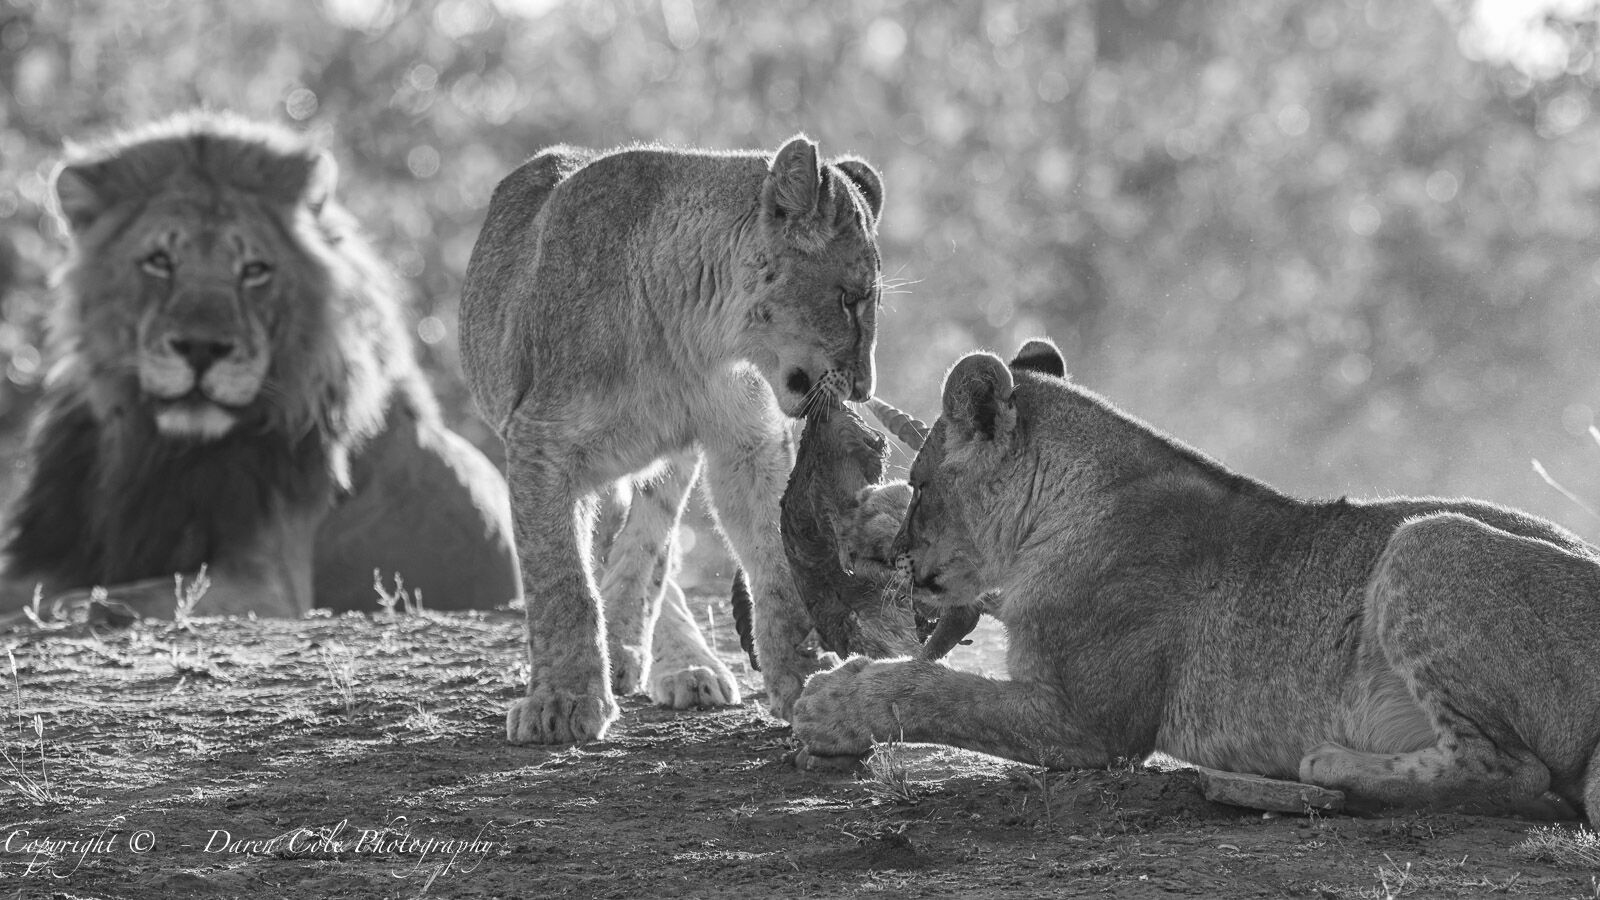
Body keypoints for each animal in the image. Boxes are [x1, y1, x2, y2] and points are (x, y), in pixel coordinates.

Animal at [0, 113, 519, 621]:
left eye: (254, 270)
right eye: (159, 262)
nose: (201, 349)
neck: (157, 449)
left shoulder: (268, 587)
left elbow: (102, 596)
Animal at [460, 136, 885, 744]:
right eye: (849, 298)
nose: (864, 388)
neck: (691, 339)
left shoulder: (747, 443)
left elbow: (773, 564)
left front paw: (806, 677)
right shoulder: (539, 443)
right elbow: (563, 581)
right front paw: (560, 702)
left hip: (667, 465)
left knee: (652, 550)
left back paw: (678, 663)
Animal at [794, 338, 1600, 822]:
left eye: (924, 485)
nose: (903, 552)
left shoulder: (1094, 723)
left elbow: (938, 693)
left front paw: (833, 703)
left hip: (1425, 541)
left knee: (1518, 775)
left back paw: (1330, 765)